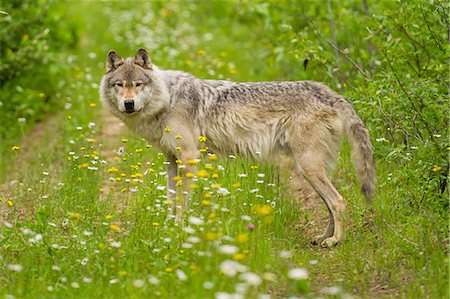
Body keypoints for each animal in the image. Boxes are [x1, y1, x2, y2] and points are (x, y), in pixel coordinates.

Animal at [99, 48, 376, 247]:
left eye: (137, 84)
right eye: (119, 85)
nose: (129, 104)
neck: (167, 99)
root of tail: (328, 91)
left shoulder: (189, 157)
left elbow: (183, 202)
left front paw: (180, 229)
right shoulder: (171, 159)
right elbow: (170, 198)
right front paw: (168, 226)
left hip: (308, 167)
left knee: (338, 202)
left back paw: (335, 241)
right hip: (314, 170)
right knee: (331, 204)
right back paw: (324, 237)